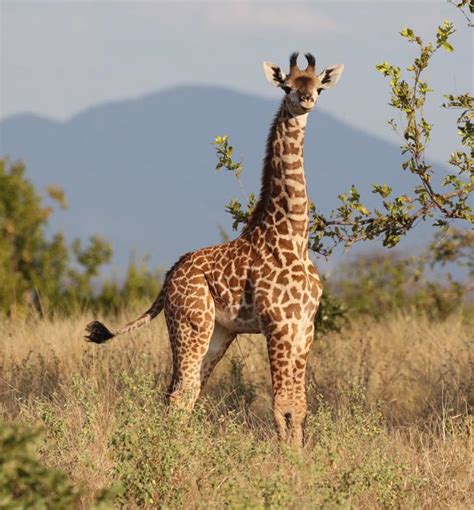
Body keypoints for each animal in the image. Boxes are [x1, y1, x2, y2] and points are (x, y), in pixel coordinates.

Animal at [86, 52, 344, 446]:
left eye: (318, 87)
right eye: (287, 86)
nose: (305, 101)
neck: (293, 237)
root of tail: (168, 277)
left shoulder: (304, 327)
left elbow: (299, 406)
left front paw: (301, 458)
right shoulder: (277, 325)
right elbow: (282, 405)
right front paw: (287, 459)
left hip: (218, 333)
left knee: (183, 392)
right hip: (191, 324)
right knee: (180, 393)